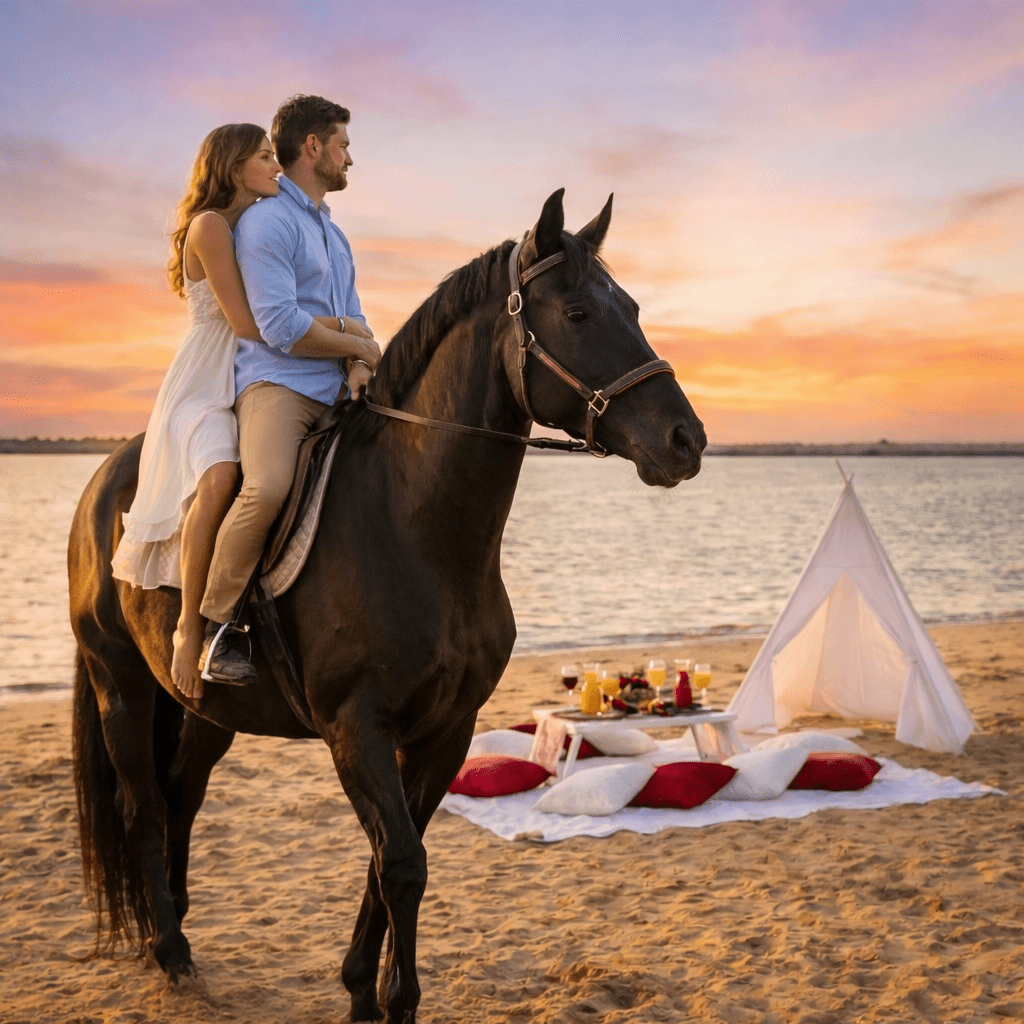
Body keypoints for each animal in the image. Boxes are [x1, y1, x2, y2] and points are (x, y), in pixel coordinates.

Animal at [69, 189, 706, 1024]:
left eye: (629, 306)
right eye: (575, 312)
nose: (686, 439)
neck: (415, 529)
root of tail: (104, 477)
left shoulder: (446, 730)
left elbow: (389, 860)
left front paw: (359, 991)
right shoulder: (356, 729)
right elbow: (401, 862)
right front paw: (391, 1001)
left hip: (204, 708)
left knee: (182, 795)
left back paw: (175, 928)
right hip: (120, 684)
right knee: (143, 807)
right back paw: (170, 951)